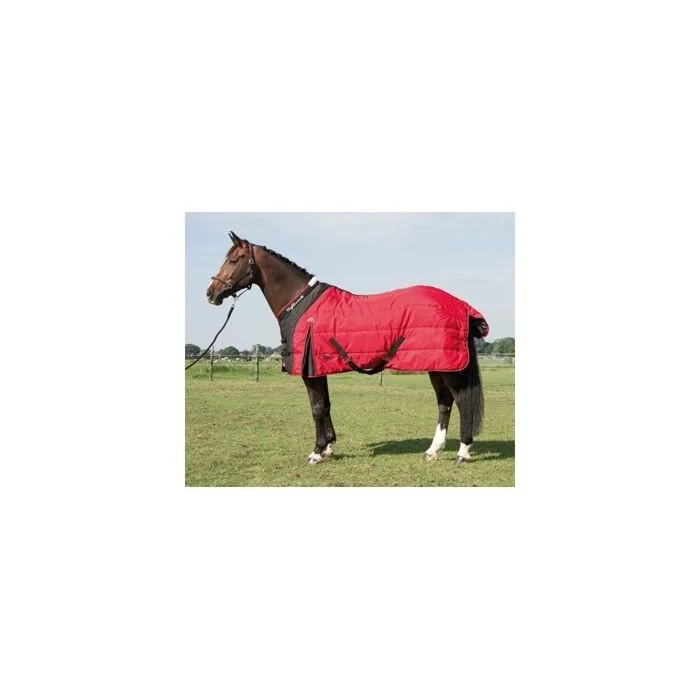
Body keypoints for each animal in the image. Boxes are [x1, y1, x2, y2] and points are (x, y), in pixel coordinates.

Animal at [206, 231, 490, 465]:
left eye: (235, 259)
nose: (211, 293)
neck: (301, 304)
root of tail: (461, 306)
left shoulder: (310, 371)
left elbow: (316, 408)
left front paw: (316, 452)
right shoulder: (319, 367)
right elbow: (326, 405)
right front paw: (329, 448)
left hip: (449, 367)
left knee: (461, 402)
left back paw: (463, 452)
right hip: (436, 365)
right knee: (444, 402)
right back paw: (432, 451)